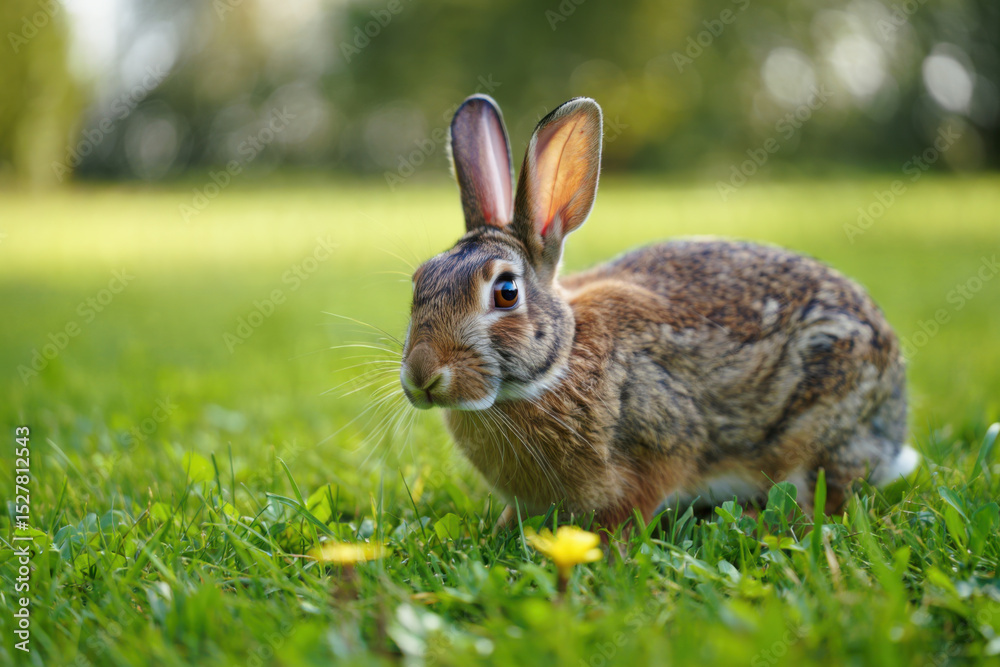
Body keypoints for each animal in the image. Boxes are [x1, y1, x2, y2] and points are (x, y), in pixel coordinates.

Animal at [399, 94, 919, 531]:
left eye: (506, 291)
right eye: (419, 282)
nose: (422, 375)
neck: (560, 362)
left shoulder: (662, 446)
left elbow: (639, 501)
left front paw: (610, 544)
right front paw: (506, 527)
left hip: (819, 428)